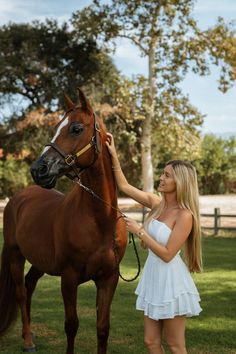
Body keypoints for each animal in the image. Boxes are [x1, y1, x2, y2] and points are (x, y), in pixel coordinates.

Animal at [0, 90, 127, 354]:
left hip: (40, 261)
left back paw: (29, 334)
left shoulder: (108, 279)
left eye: (76, 128)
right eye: (56, 127)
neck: (100, 220)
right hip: (16, 255)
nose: (38, 169)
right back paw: (28, 342)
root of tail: (19, 197)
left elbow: (103, 328)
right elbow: (71, 325)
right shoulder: (69, 278)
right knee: (20, 292)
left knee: (29, 285)